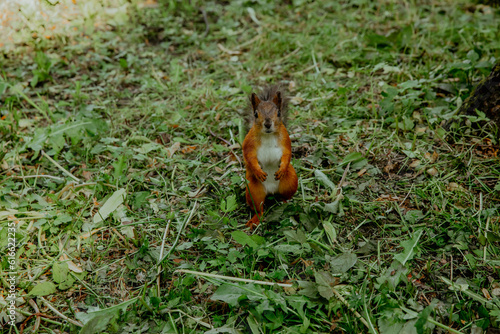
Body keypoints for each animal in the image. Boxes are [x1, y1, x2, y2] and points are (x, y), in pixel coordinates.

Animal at [241, 86, 296, 228]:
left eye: (278, 113)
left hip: (291, 181)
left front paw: (282, 168)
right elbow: (249, 157)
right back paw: (255, 220)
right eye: (255, 114)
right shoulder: (248, 144)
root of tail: (271, 191)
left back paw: (286, 203)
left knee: (285, 196)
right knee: (259, 208)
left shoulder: (286, 141)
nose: (267, 124)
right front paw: (258, 171)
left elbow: (287, 154)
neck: (268, 135)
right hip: (253, 190)